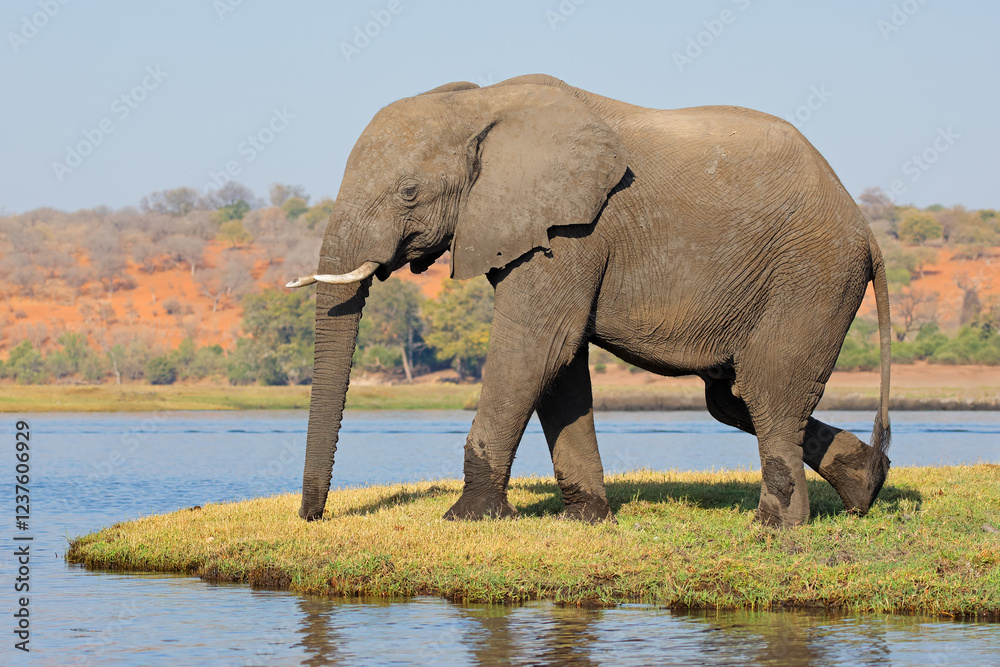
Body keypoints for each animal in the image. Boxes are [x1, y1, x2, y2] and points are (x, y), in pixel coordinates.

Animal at [288, 74, 891, 528]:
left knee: (767, 389)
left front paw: (466, 518)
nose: (312, 518)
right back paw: (867, 485)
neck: (481, 101)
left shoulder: (573, 231)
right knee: (731, 397)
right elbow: (561, 365)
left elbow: (536, 348)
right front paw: (586, 519)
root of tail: (865, 228)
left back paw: (776, 527)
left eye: (409, 193)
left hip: (812, 274)